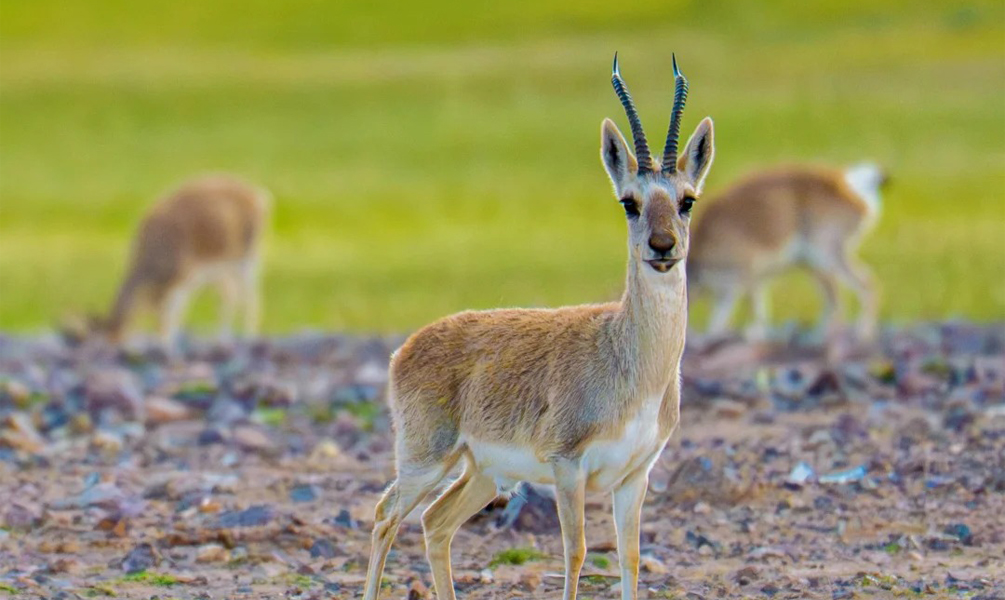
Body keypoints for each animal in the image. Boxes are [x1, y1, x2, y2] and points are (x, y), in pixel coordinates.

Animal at [94, 174, 270, 346]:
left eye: (116, 339)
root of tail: (259, 198)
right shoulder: (187, 281)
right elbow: (172, 314)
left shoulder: (184, 276)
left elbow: (170, 314)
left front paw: (166, 343)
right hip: (223, 269)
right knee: (231, 296)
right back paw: (221, 338)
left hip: (246, 259)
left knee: (251, 298)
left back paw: (248, 336)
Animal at [362, 54, 715, 600]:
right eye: (629, 202)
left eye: (687, 200)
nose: (662, 247)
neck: (628, 359)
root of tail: (407, 347)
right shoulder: (567, 467)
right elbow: (576, 553)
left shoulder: (635, 477)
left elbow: (631, 558)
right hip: (426, 460)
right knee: (385, 515)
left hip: (483, 472)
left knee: (435, 523)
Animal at [687, 163, 886, 342]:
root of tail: (846, 185)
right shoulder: (728, 294)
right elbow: (716, 326)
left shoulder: (748, 276)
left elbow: (754, 313)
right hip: (812, 264)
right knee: (835, 298)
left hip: (826, 256)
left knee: (862, 286)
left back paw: (858, 336)